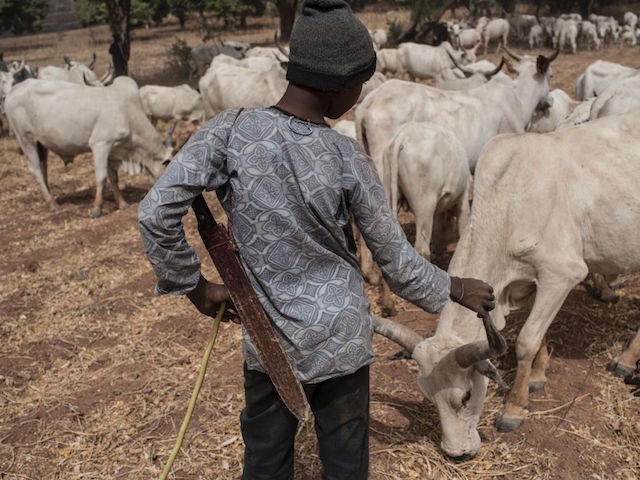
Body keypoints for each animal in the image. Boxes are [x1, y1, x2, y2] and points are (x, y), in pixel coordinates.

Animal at [6, 77, 171, 218]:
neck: (127, 113)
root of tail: (13, 90)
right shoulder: (100, 144)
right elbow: (101, 177)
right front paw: (97, 209)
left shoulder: (112, 150)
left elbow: (113, 177)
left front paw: (122, 203)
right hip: (26, 139)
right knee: (36, 170)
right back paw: (52, 205)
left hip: (40, 144)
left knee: (43, 168)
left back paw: (51, 198)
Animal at [372, 108, 640, 458]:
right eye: (429, 398)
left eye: (466, 396)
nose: (456, 453)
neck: (510, 201)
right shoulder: (532, 281)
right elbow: (540, 335)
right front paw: (538, 376)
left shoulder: (562, 273)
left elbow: (526, 339)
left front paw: (514, 408)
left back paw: (625, 361)